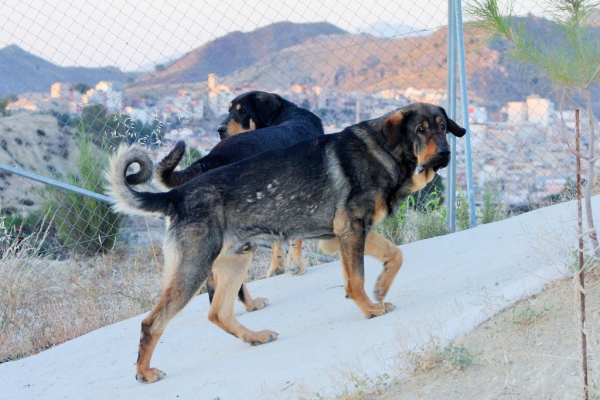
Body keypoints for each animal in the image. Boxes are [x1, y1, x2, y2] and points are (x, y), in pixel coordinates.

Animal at [155, 90, 324, 280]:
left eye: (242, 111)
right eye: (229, 110)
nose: (220, 129)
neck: (286, 113)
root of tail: (217, 155)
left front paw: (277, 269)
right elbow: (296, 239)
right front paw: (296, 266)